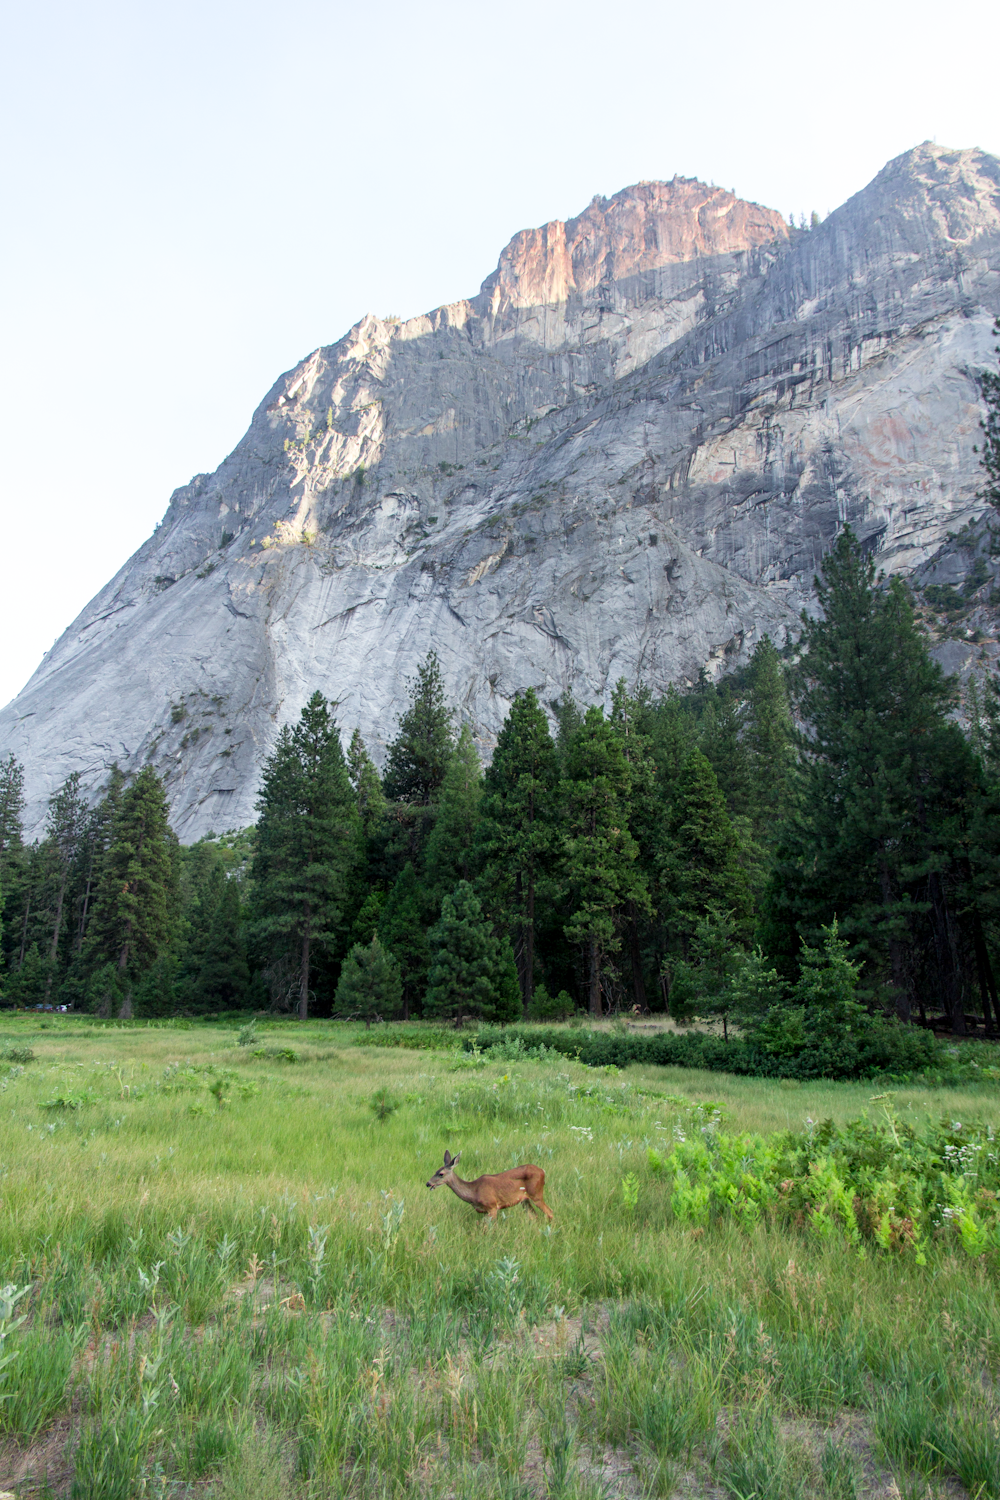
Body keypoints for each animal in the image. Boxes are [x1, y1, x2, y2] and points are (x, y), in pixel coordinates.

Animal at [425, 1152, 554, 1224]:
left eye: (441, 1174)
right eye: (435, 1171)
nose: (428, 1183)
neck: (473, 1192)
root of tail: (542, 1171)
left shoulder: (492, 1206)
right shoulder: (485, 1211)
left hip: (536, 1194)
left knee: (550, 1212)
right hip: (524, 1200)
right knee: (533, 1216)